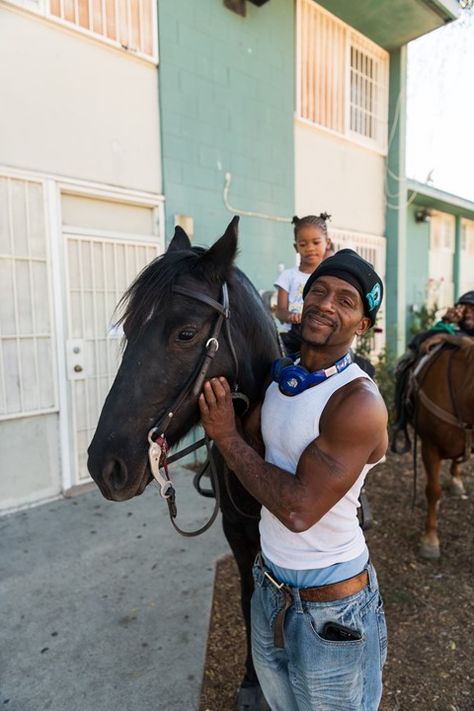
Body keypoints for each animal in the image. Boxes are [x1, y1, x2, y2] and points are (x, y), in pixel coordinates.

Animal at [87, 218, 280, 711]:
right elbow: (249, 598)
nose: (104, 465)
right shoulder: (237, 532)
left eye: (186, 334)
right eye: (129, 328)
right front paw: (252, 681)